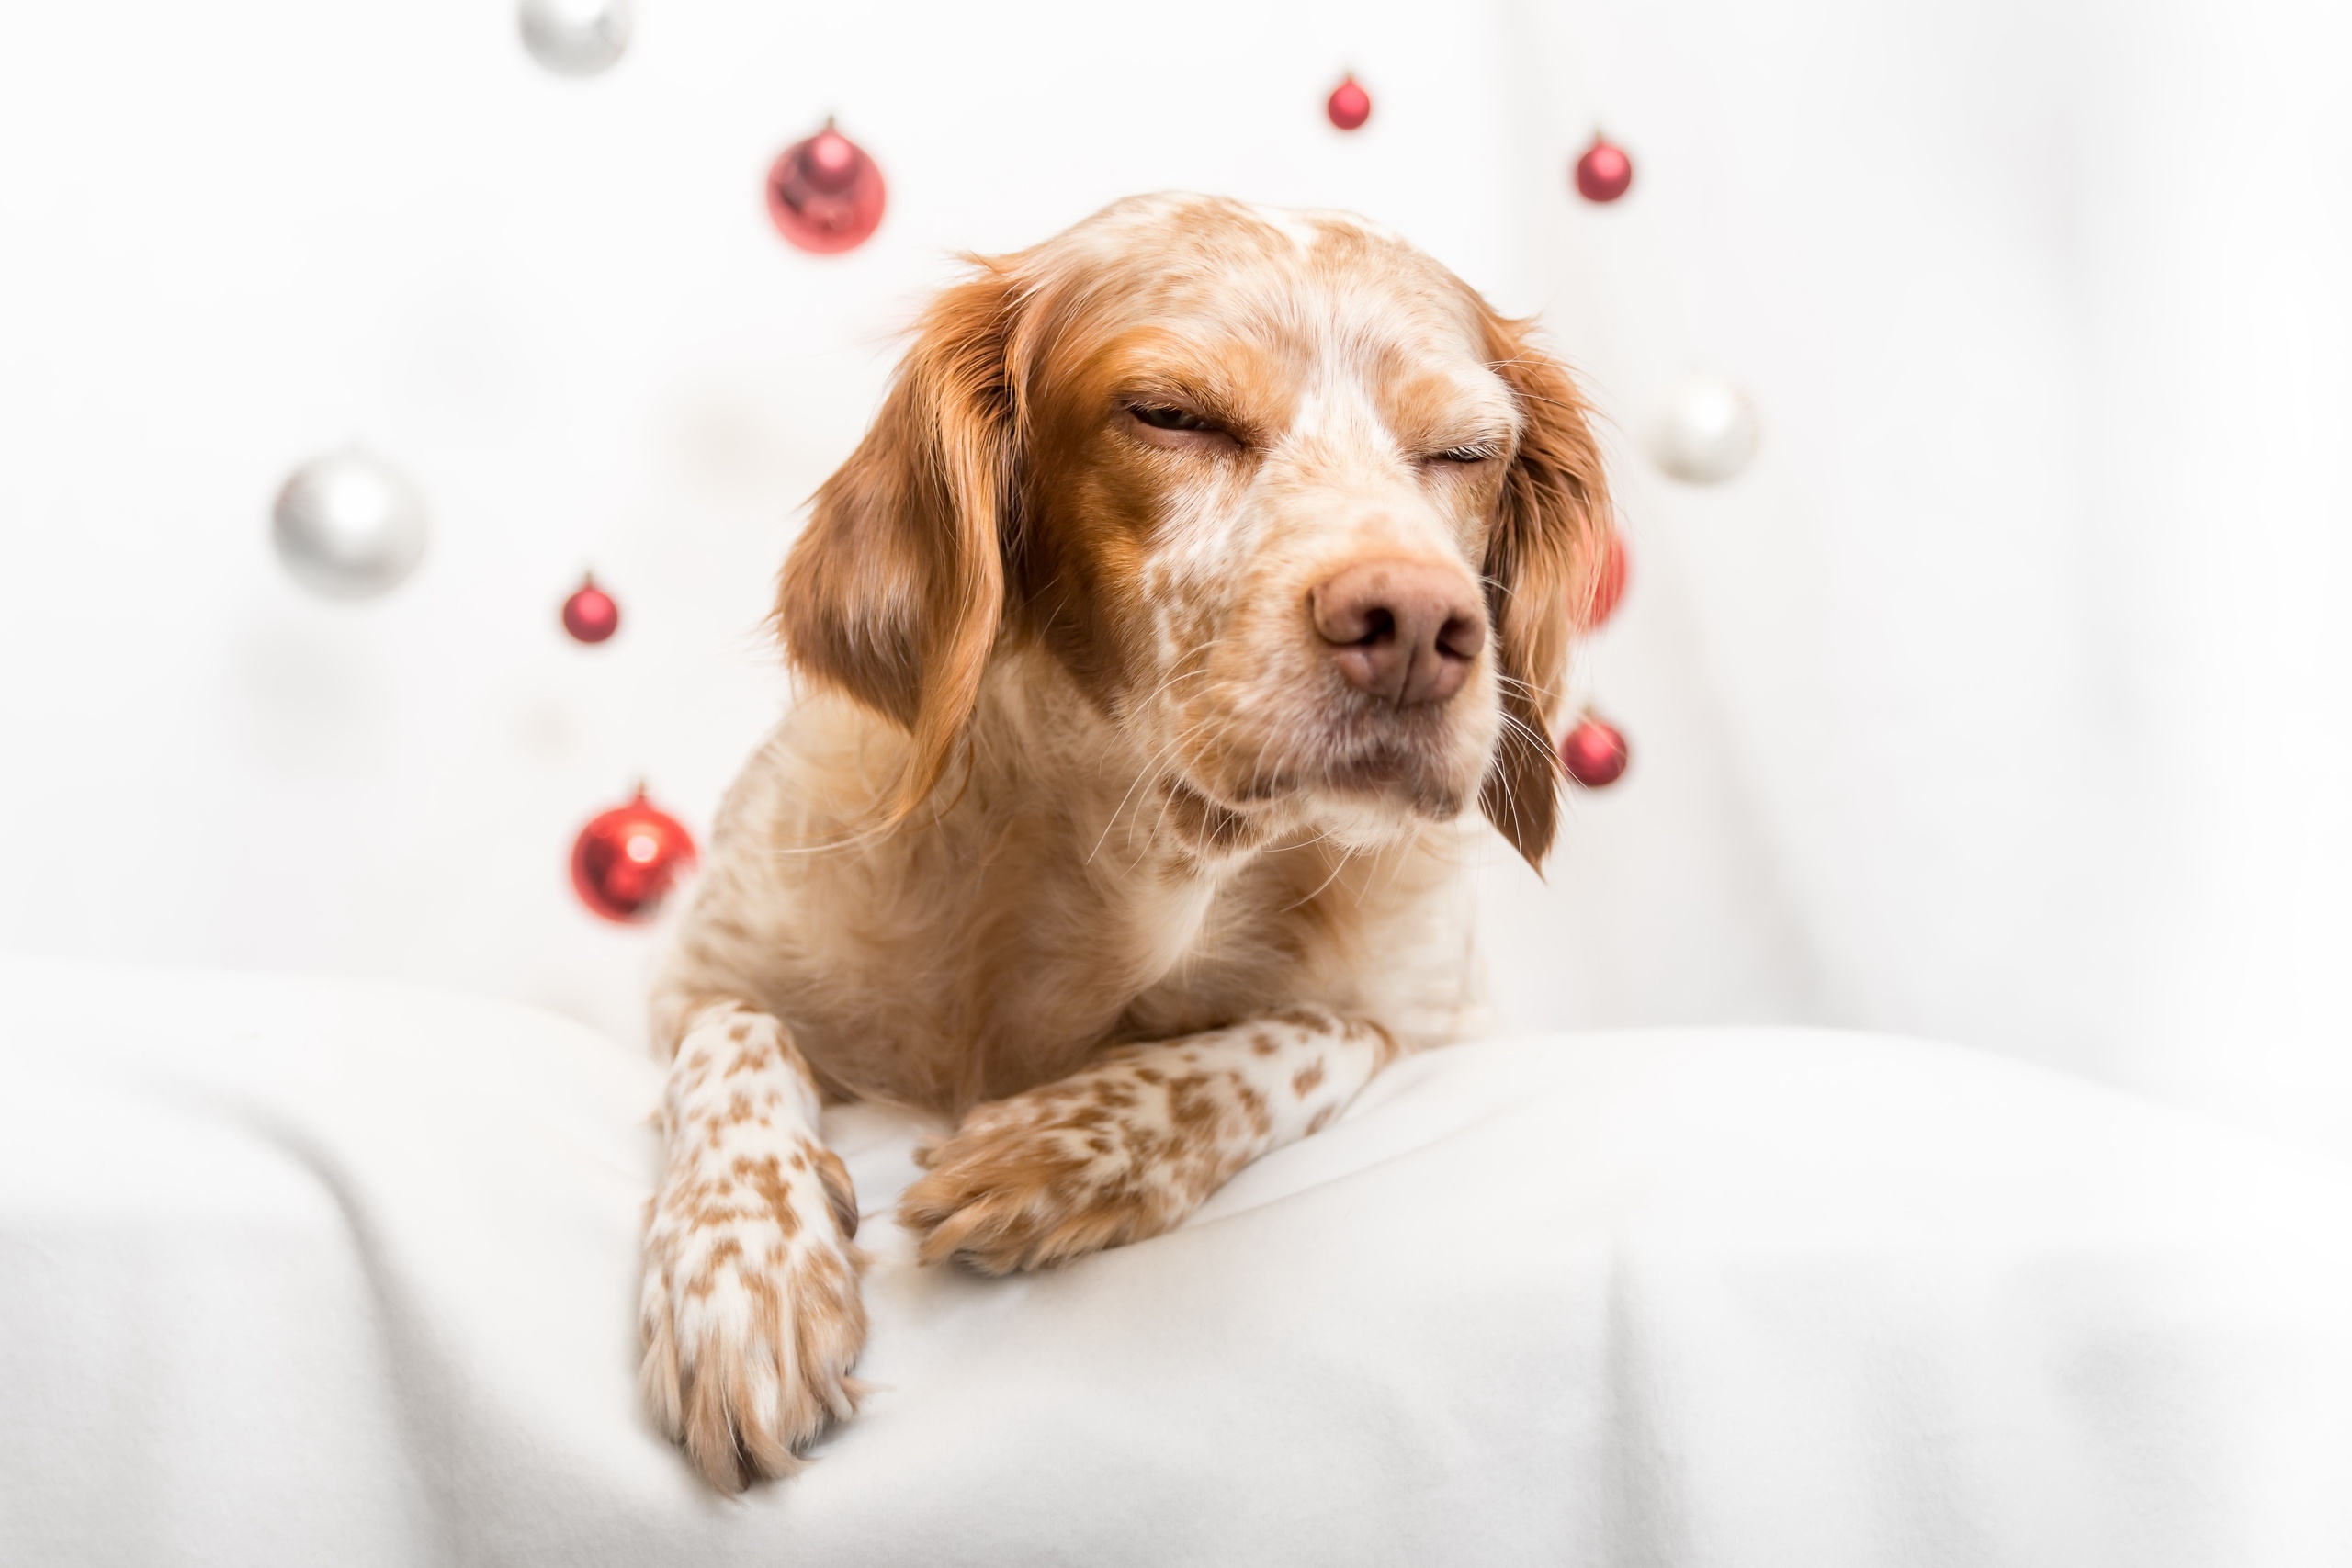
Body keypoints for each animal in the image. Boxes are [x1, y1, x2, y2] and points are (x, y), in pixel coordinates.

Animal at [635, 190, 1609, 1495]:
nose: (1415, 626)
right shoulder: (694, 980)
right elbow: (738, 1037)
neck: (1149, 869)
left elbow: (1314, 1033)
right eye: (1170, 415)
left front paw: (1063, 1149)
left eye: (1462, 452)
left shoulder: (1439, 1022)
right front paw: (744, 1278)